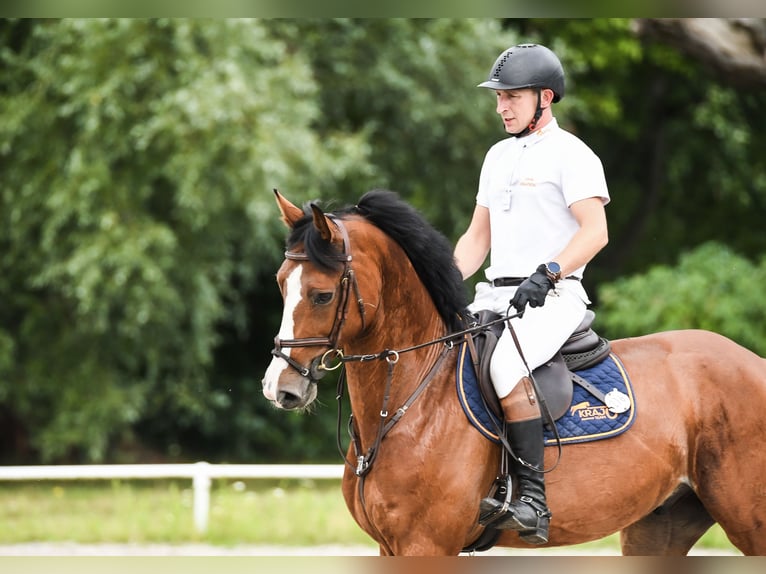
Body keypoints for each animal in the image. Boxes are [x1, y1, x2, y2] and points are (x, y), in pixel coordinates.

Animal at [264, 190, 766, 560]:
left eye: (323, 295)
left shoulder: (425, 544)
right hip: (660, 523)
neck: (411, 399)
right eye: (280, 284)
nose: (279, 388)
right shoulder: (391, 546)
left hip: (749, 520)